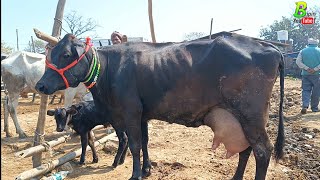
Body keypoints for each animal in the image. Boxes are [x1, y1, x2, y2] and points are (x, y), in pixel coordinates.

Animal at [35, 33, 284, 179]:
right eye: (51, 53)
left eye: (65, 54)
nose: (40, 84)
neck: (109, 70)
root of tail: (268, 47)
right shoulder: (143, 115)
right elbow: (145, 143)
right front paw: (147, 170)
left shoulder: (130, 113)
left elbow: (135, 144)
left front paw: (135, 174)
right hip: (241, 118)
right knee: (247, 149)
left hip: (251, 115)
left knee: (263, 150)